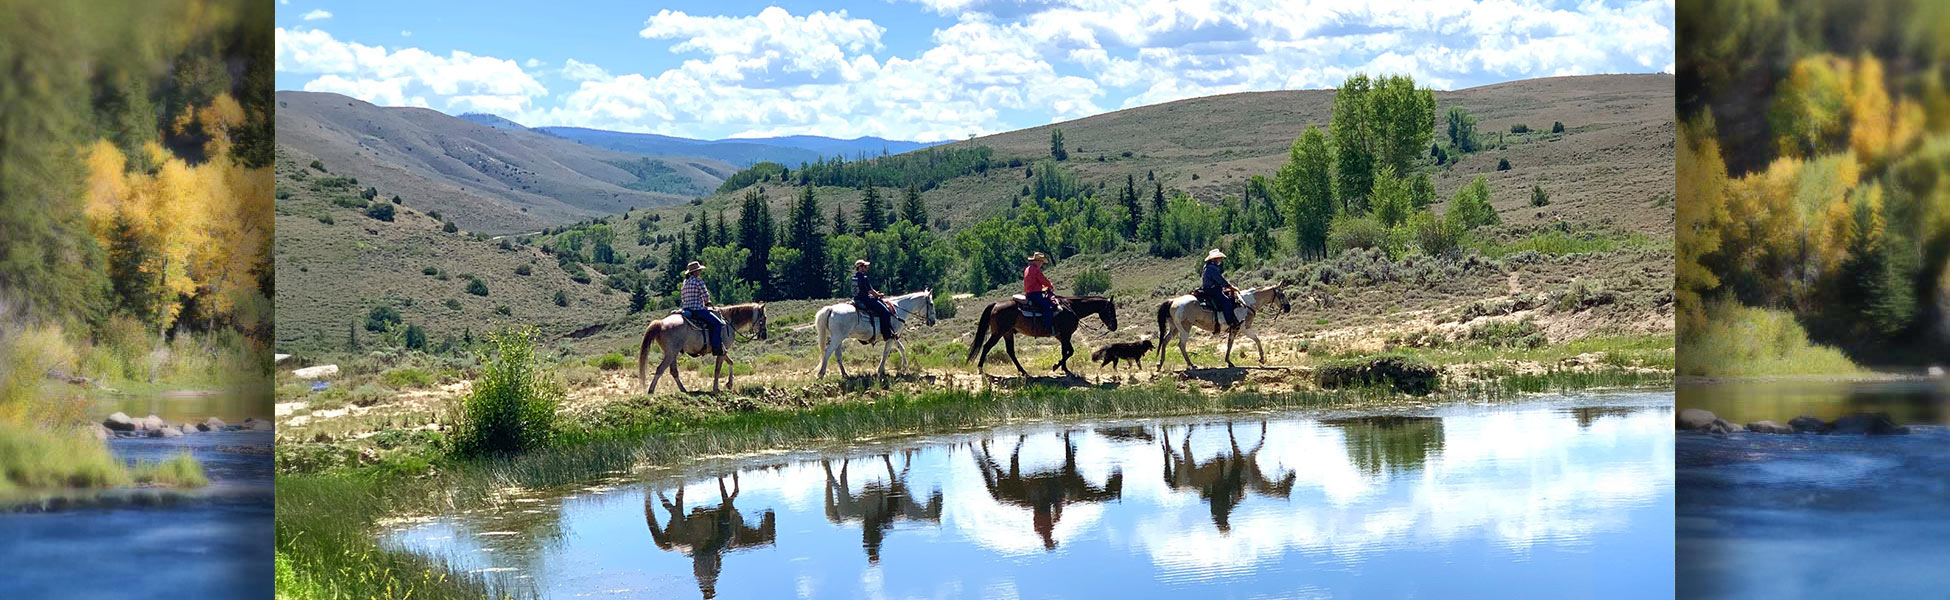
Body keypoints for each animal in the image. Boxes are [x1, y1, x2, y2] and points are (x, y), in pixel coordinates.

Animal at [635, 301, 764, 395]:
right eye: (763, 318)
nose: (764, 336)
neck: (728, 321)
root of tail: (661, 323)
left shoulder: (723, 350)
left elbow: (730, 362)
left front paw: (729, 384)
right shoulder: (721, 350)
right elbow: (717, 369)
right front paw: (716, 388)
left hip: (672, 354)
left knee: (673, 371)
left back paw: (683, 390)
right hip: (671, 354)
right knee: (660, 369)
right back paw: (651, 390)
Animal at [955, 294, 1115, 374]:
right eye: (1110, 309)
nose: (1114, 326)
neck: (1072, 308)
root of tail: (995, 304)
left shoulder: (1062, 336)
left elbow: (1066, 351)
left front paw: (1063, 368)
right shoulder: (1065, 335)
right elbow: (1070, 351)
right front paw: (1057, 366)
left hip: (1007, 333)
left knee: (1010, 351)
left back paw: (1023, 371)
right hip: (998, 333)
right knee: (987, 347)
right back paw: (980, 367)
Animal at [1146, 286, 1287, 370]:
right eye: (1282, 295)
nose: (1288, 308)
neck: (1246, 303)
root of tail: (1173, 301)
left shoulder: (1234, 330)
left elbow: (1230, 344)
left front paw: (1229, 362)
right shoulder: (1244, 328)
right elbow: (1257, 339)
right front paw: (1262, 359)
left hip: (1174, 328)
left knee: (1165, 341)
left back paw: (1160, 363)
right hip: (1185, 329)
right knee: (1181, 345)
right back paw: (1191, 364)